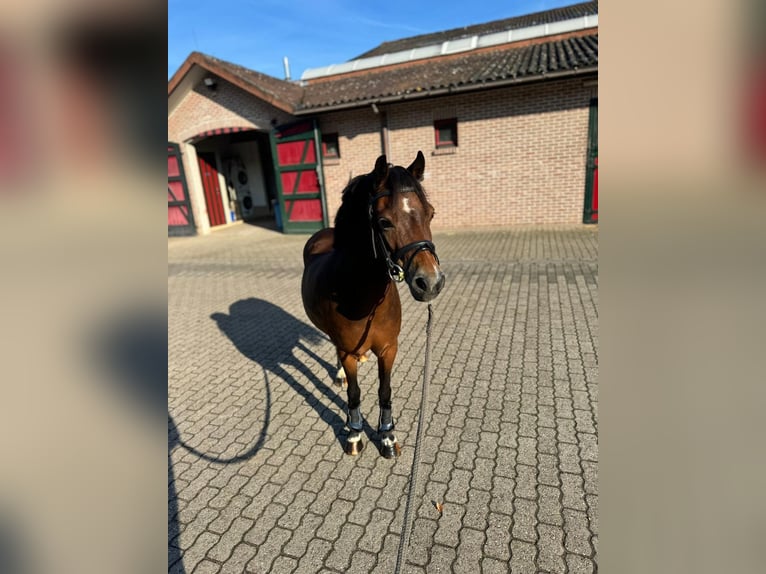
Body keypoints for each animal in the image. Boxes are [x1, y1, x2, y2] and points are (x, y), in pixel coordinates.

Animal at [301, 151, 445, 458]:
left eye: (431, 213)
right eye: (384, 222)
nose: (430, 282)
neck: (363, 298)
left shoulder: (389, 349)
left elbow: (385, 391)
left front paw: (388, 437)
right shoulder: (346, 350)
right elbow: (354, 394)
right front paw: (355, 434)